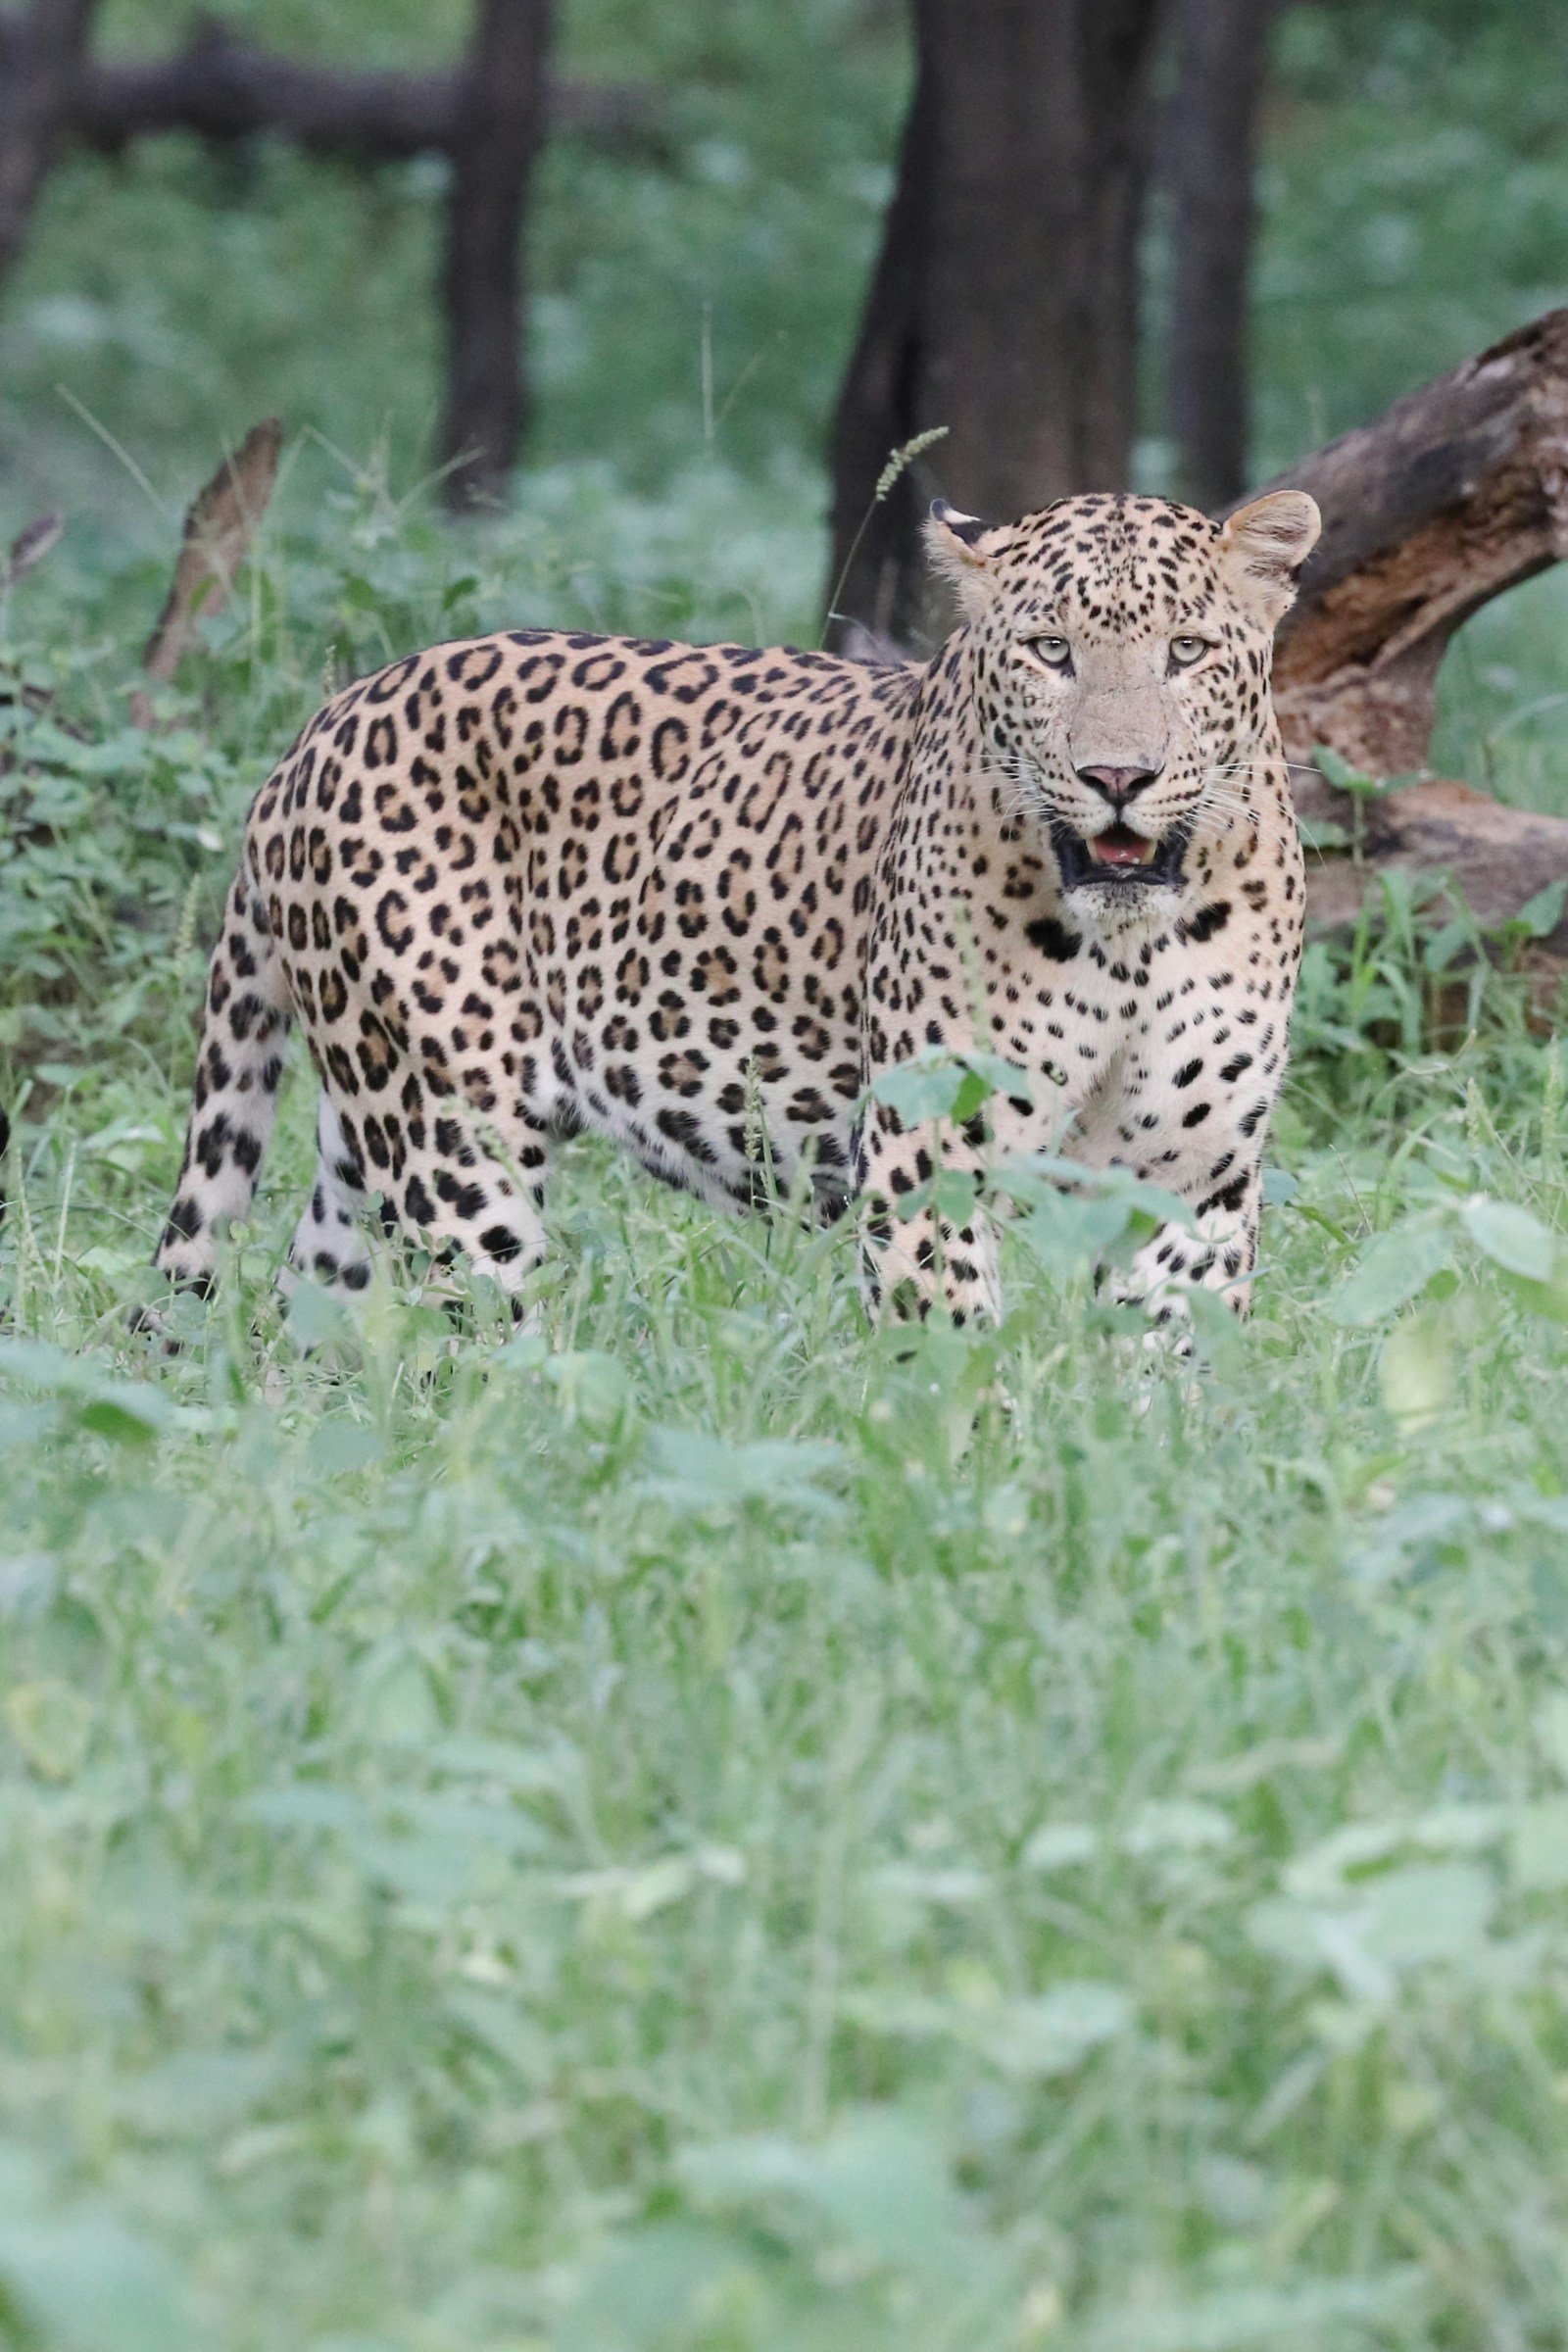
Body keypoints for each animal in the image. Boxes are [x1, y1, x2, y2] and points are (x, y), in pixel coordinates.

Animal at [150, 487, 1320, 1331]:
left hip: (366, 1130)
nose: (1117, 776)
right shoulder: (924, 1157)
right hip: (455, 1136)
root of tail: (320, 725)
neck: (1129, 944)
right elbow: (949, 1361)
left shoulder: (1192, 1180)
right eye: (1048, 651)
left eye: (1185, 652)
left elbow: (1167, 1370)